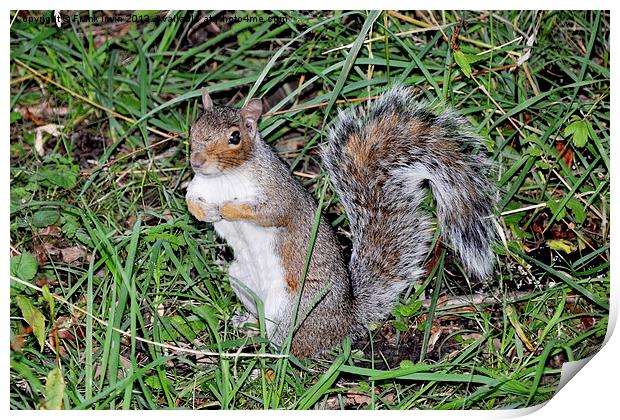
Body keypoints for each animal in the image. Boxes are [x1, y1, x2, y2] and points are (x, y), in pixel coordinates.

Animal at [186, 86, 496, 358]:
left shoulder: (276, 192)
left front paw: (227, 209)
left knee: (294, 350)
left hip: (293, 310)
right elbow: (191, 202)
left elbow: (271, 213)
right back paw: (249, 325)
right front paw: (206, 213)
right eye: (194, 126)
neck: (225, 178)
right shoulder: (198, 187)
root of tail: (344, 321)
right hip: (241, 278)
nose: (196, 160)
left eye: (235, 137)